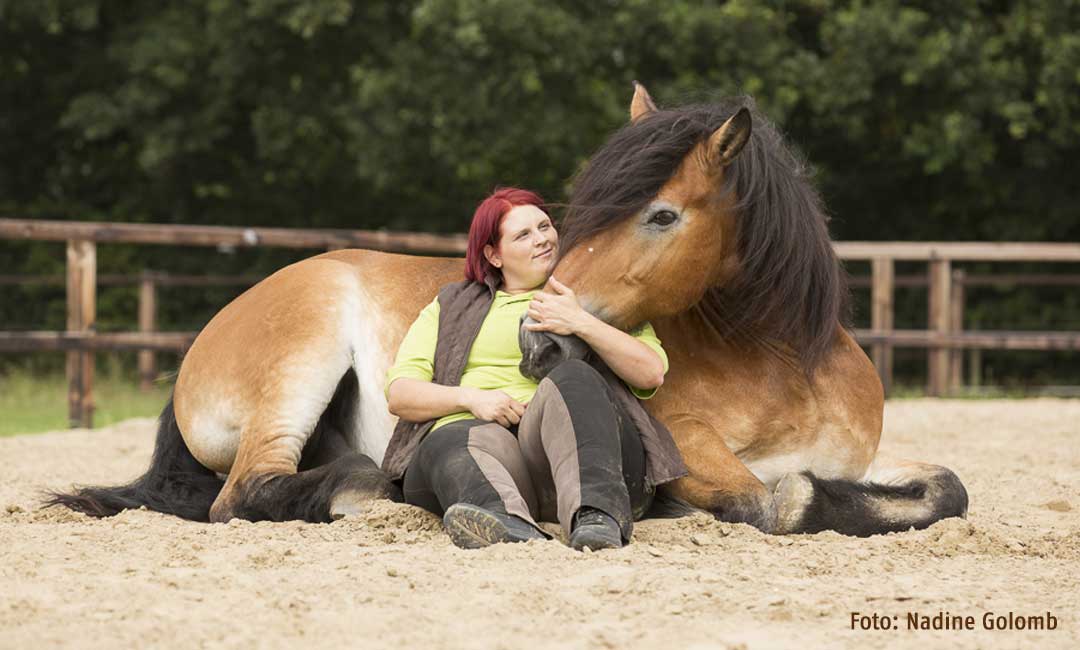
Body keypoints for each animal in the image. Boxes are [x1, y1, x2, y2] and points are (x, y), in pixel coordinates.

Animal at [48, 83, 972, 533]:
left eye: (661, 214)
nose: (538, 329)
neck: (784, 366)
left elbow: (945, 488)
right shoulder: (694, 446)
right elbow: (774, 501)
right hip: (300, 364)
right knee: (244, 494)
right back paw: (364, 493)